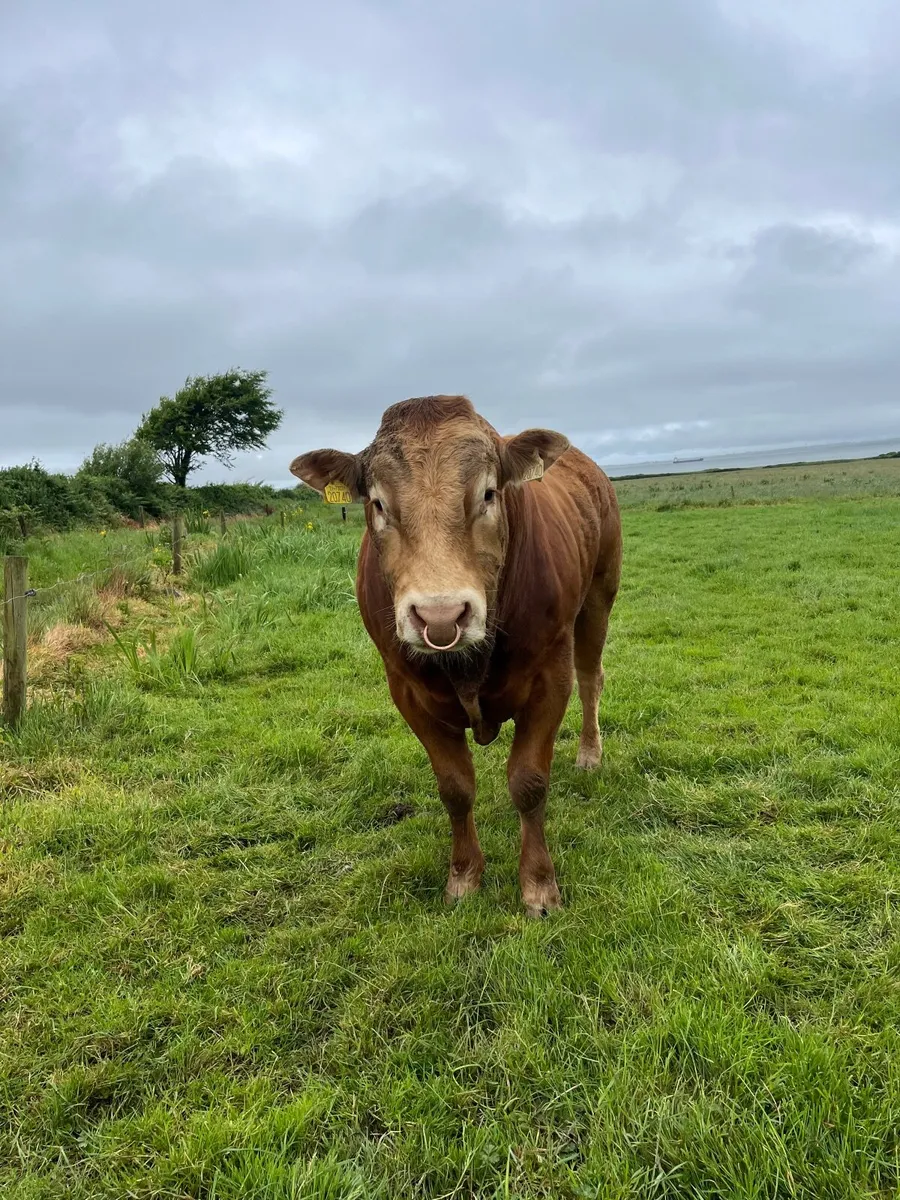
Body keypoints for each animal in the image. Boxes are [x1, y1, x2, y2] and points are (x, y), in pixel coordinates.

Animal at [291, 395, 622, 917]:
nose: (441, 615)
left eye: (487, 494)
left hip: (599, 599)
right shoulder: (408, 691)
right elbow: (455, 788)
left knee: (591, 678)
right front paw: (464, 878)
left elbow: (529, 783)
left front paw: (539, 886)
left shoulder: (551, 675)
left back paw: (590, 753)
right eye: (378, 503)